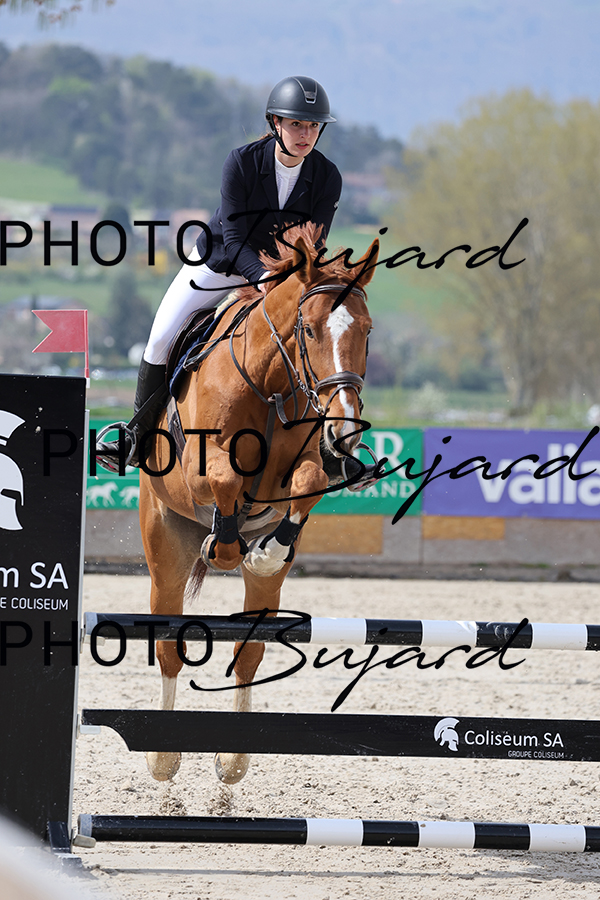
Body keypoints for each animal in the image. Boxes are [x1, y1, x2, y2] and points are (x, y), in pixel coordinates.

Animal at [139, 222, 378, 784]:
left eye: (367, 331)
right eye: (309, 331)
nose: (345, 433)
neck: (270, 384)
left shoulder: (305, 462)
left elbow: (311, 478)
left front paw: (267, 548)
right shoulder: (199, 467)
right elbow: (226, 479)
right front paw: (225, 546)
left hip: (262, 593)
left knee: (248, 653)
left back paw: (233, 762)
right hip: (166, 546)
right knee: (169, 647)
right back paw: (163, 758)